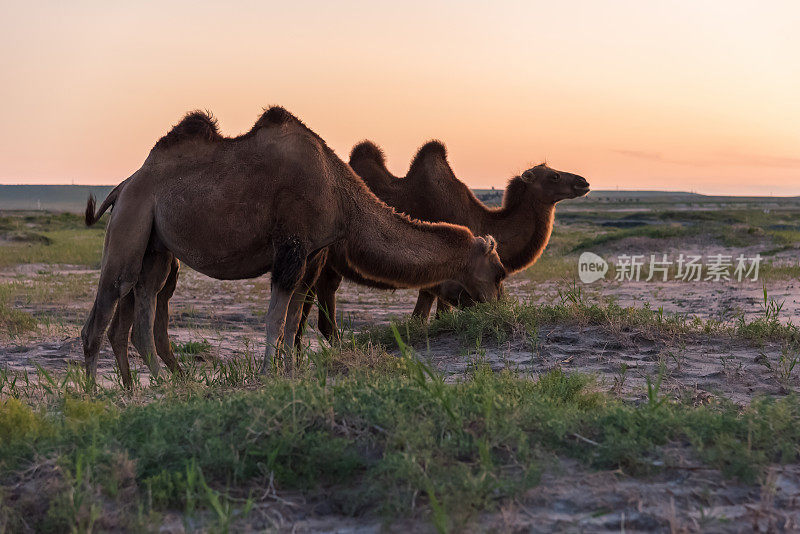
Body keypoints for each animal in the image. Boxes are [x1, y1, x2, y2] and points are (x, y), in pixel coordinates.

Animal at [83, 109, 506, 386]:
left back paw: (159, 388)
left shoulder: (314, 254)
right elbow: (276, 318)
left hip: (157, 246)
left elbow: (292, 320)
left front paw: (290, 372)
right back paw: (93, 395)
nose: (500, 308)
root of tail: (124, 184)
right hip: (132, 219)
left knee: (143, 303)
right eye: (500, 272)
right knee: (107, 306)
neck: (341, 194)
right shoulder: (291, 247)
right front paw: (266, 374)